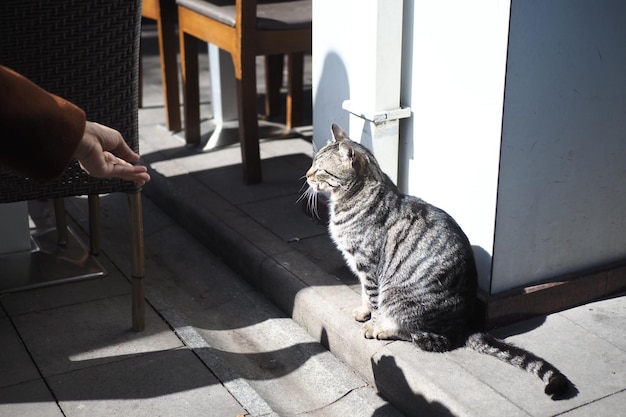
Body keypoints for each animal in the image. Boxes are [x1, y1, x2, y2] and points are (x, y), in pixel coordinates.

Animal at [304, 122, 572, 396]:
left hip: (397, 295)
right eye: (312, 164)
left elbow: (373, 299)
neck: (351, 199)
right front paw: (362, 312)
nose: (306, 175)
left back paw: (384, 331)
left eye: (320, 169)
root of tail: (464, 327)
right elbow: (364, 296)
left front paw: (372, 325)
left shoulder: (369, 266)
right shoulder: (360, 268)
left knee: (423, 336)